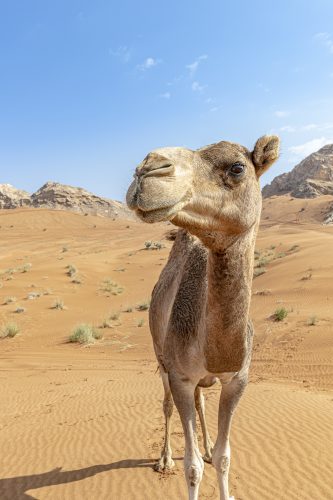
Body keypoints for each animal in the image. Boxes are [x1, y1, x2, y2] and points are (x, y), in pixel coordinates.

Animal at [126, 135, 278, 498]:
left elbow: (224, 456)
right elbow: (191, 467)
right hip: (161, 356)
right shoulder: (180, 375)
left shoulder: (238, 379)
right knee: (167, 404)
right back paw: (164, 459)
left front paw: (215, 455)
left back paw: (206, 445)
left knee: (201, 404)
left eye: (237, 168)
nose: (147, 168)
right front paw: (183, 461)